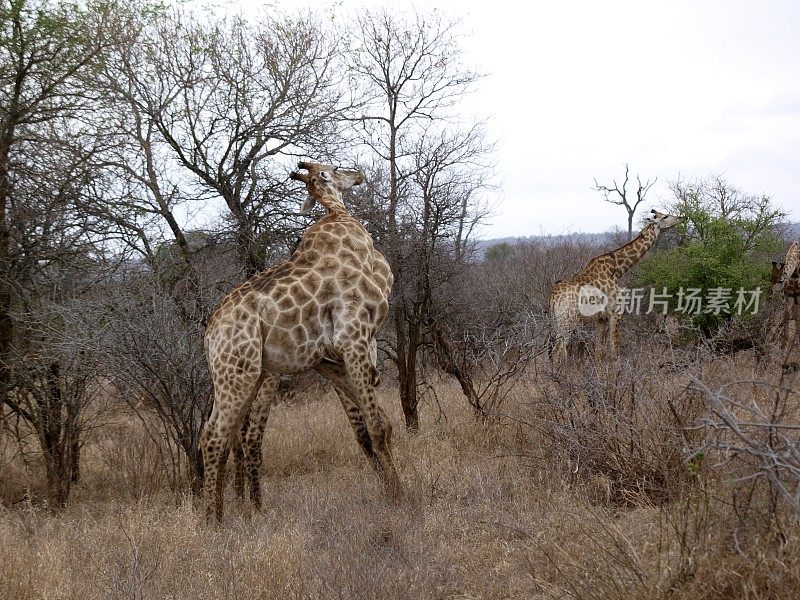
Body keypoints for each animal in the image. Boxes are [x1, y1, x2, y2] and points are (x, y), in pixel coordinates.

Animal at [202, 162, 398, 524]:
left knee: (227, 437)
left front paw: (392, 488)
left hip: (244, 376)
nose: (358, 174)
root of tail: (209, 335)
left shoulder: (335, 356)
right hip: (238, 374)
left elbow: (374, 426)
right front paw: (401, 495)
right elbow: (376, 427)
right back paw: (211, 522)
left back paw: (223, 513)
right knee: (215, 437)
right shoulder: (353, 336)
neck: (339, 217)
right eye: (334, 168)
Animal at [552, 210, 680, 360]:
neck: (618, 269)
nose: (682, 218)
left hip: (556, 322)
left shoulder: (601, 318)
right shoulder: (616, 313)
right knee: (557, 351)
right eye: (665, 216)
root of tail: (553, 298)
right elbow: (614, 351)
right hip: (567, 321)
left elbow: (599, 352)